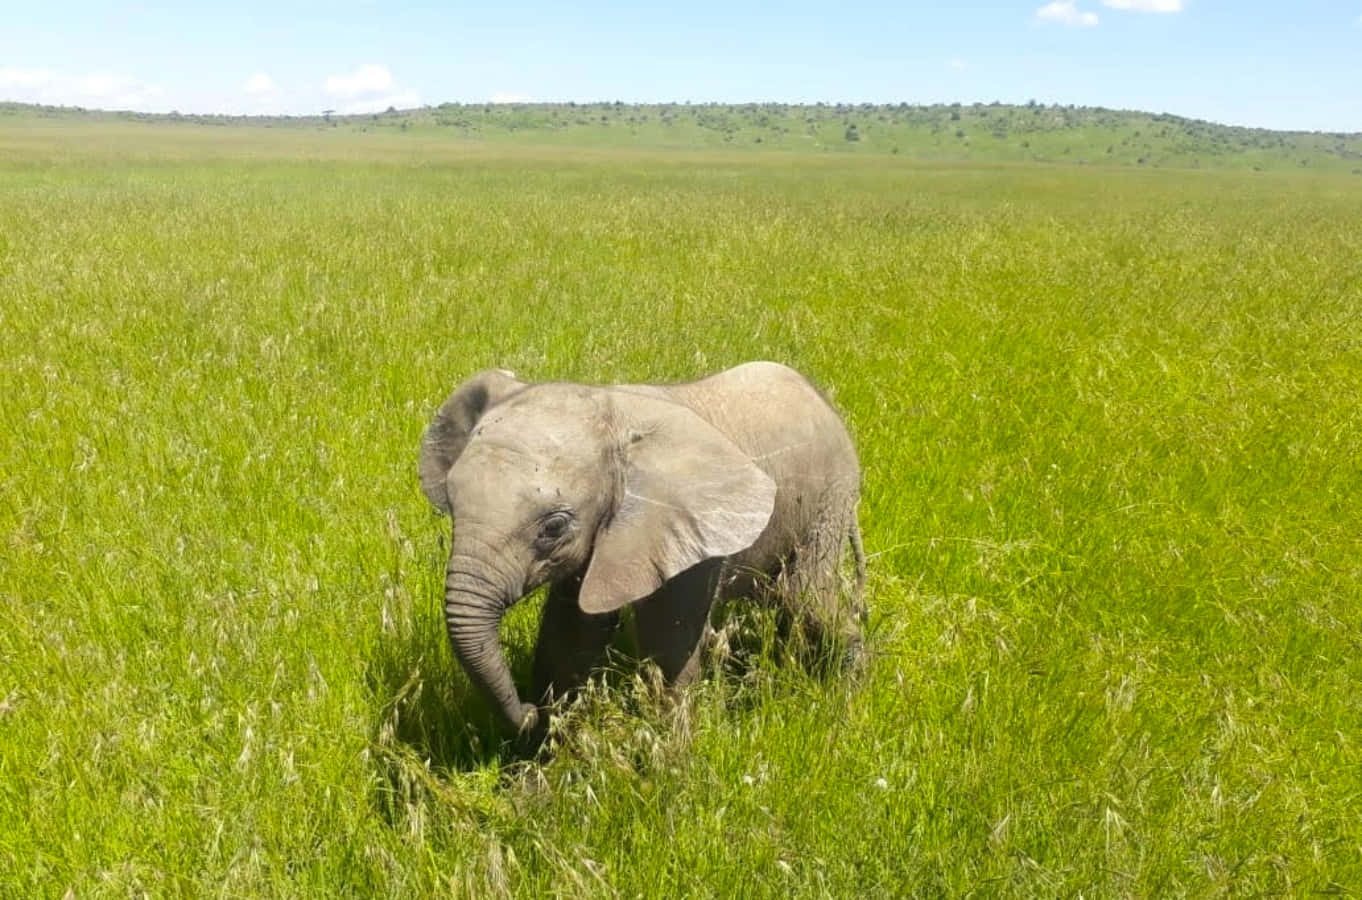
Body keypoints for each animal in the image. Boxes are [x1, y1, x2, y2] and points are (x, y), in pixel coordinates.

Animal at [417, 361, 866, 737]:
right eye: (452, 505)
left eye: (554, 527)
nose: (525, 713)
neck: (611, 410)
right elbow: (570, 638)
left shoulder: (684, 532)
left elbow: (666, 646)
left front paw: (670, 765)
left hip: (832, 493)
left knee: (808, 597)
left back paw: (848, 695)